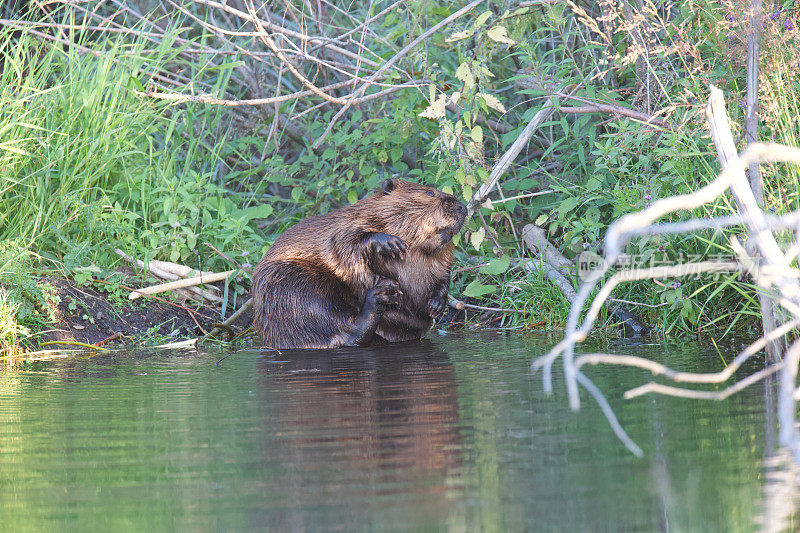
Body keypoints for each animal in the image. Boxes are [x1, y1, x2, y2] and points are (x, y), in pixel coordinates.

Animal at [253, 179, 468, 350]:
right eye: (429, 192)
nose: (463, 208)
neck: (419, 250)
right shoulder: (343, 225)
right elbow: (344, 245)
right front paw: (389, 244)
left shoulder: (442, 257)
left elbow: (443, 273)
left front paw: (436, 305)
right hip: (293, 284)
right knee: (343, 328)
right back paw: (382, 294)